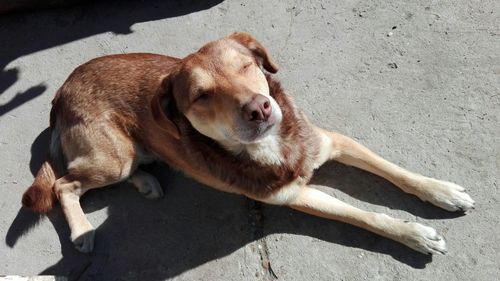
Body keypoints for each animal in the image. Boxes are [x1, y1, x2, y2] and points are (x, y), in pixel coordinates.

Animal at [21, 32, 474, 254]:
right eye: (201, 95)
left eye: (244, 66)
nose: (259, 108)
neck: (274, 146)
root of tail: (59, 92)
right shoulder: (294, 195)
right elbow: (366, 216)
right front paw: (414, 235)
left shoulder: (333, 142)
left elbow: (397, 172)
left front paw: (442, 191)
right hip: (112, 156)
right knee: (64, 183)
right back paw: (83, 230)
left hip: (127, 155)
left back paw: (147, 181)